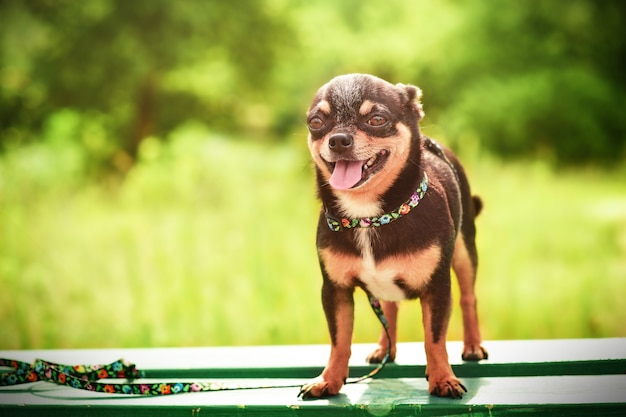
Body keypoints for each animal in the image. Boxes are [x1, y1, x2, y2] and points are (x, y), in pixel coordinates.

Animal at [298, 73, 488, 398]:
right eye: (316, 122)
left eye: (377, 119)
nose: (338, 139)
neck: (369, 216)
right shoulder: (335, 290)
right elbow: (339, 339)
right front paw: (328, 379)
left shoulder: (437, 288)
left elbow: (434, 338)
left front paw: (443, 379)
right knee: (389, 306)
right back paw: (385, 348)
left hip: (465, 251)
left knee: (468, 298)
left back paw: (473, 345)